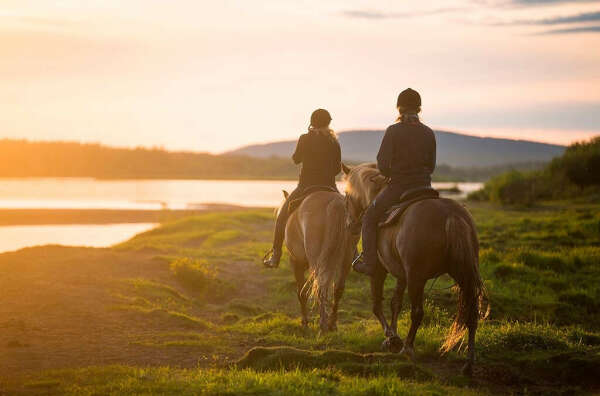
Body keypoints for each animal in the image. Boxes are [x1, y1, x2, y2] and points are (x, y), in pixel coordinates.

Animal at [280, 190, 358, 332]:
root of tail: (336, 203)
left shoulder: (295, 262)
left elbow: (302, 292)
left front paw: (305, 321)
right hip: (347, 258)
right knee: (337, 289)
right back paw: (332, 324)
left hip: (317, 261)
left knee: (321, 287)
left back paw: (323, 324)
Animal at [342, 163, 488, 374]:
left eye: (346, 194)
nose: (349, 226)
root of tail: (451, 215)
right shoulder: (402, 274)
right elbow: (395, 303)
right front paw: (391, 338)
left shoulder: (379, 270)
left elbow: (377, 305)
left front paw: (392, 338)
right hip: (463, 275)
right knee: (471, 313)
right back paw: (469, 363)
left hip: (417, 278)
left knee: (417, 312)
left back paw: (408, 348)